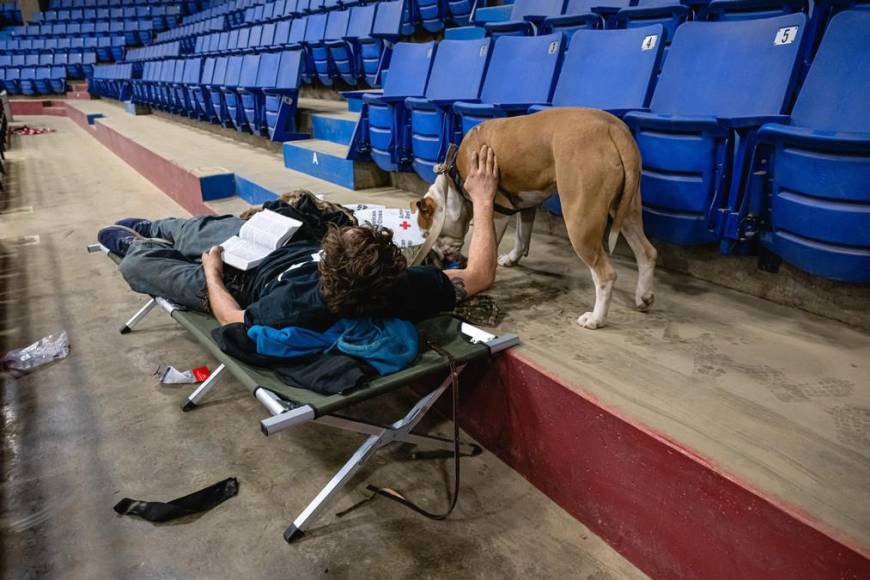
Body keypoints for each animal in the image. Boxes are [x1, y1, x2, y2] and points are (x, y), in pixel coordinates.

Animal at [412, 106, 656, 328]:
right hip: (627, 209)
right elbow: (522, 236)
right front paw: (511, 259)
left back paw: (596, 319)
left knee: (606, 274)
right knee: (646, 252)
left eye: (427, 234)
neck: (452, 184)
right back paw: (643, 296)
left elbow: (493, 240)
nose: (434, 257)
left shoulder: (497, 209)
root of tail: (613, 128)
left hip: (581, 219)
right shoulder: (526, 205)